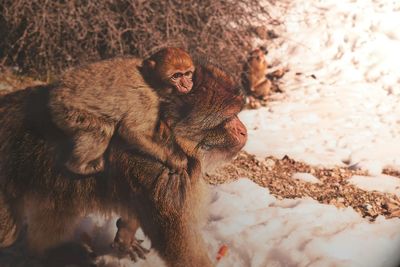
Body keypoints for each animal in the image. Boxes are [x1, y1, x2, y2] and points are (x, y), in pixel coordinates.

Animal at [0, 61, 247, 266]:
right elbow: (180, 249)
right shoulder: (169, 179)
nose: (244, 130)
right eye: (229, 117)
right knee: (10, 232)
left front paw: (125, 235)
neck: (174, 139)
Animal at [48, 47, 195, 177]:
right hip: (65, 110)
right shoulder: (145, 99)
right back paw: (78, 166)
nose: (187, 84)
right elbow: (131, 131)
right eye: (176, 76)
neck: (148, 79)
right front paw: (173, 159)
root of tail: (56, 89)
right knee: (102, 129)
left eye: (187, 74)